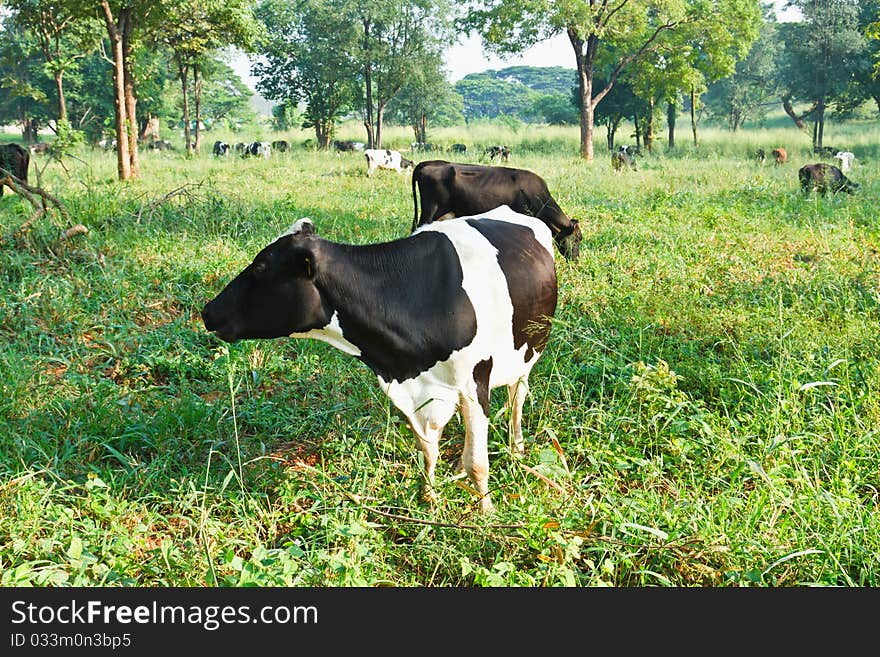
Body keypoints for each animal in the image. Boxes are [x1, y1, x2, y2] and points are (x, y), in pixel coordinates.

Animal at [201, 205, 556, 512]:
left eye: (261, 267)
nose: (208, 311)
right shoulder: (418, 389)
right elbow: (428, 449)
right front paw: (429, 495)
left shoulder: (474, 381)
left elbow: (478, 463)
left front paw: (485, 510)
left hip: (527, 352)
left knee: (516, 398)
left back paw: (516, 449)